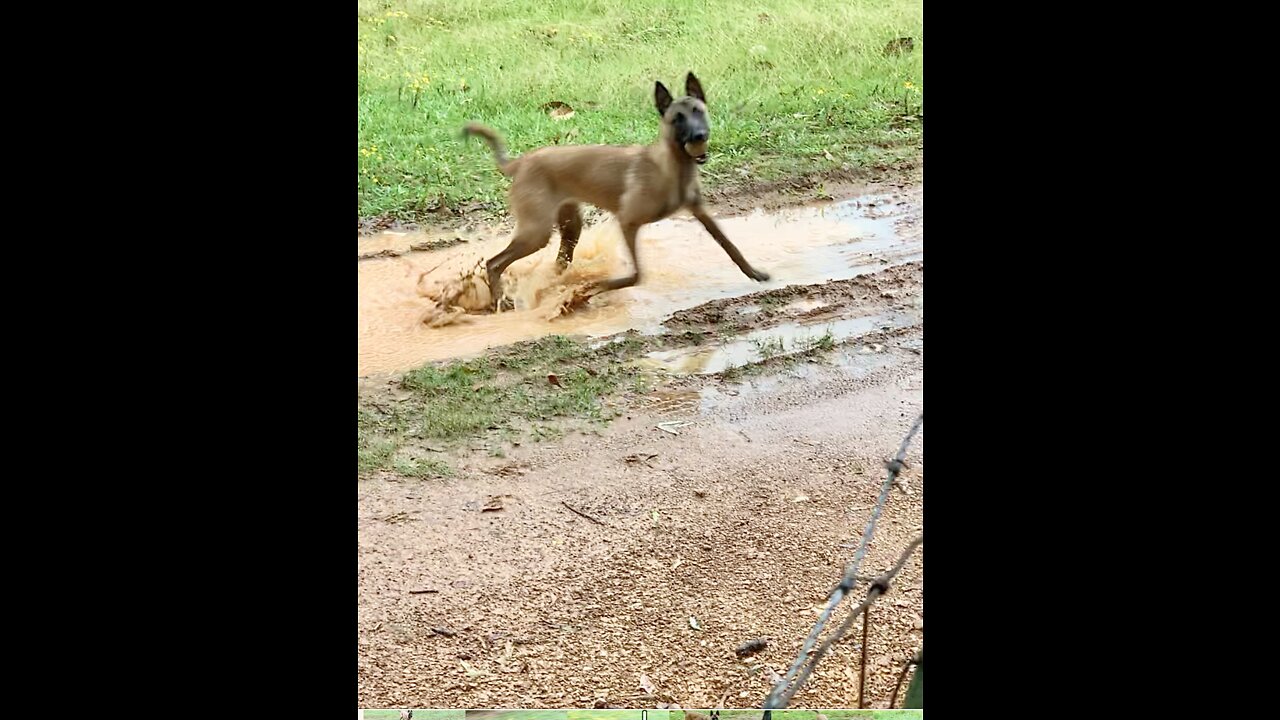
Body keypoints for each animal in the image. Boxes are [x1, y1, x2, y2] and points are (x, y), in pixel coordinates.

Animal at [468, 71, 773, 310]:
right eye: (677, 118)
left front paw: (755, 273)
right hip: (537, 231)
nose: (700, 136)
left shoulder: (701, 212)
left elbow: (730, 245)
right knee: (494, 263)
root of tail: (520, 162)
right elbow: (636, 276)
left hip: (569, 226)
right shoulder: (627, 221)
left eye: (699, 111)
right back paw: (501, 301)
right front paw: (593, 288)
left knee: (557, 264)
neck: (670, 167)